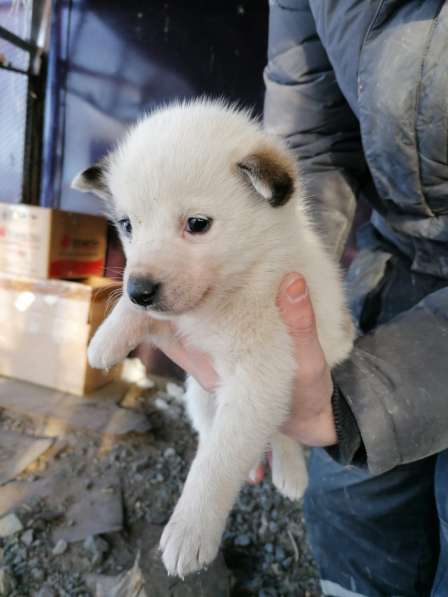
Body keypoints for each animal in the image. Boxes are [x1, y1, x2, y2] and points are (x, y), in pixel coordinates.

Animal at [72, 100, 354, 580]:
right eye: (126, 225)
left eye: (197, 224)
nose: (140, 290)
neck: (235, 289)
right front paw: (108, 337)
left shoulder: (263, 376)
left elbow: (218, 463)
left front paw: (191, 529)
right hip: (200, 395)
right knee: (215, 430)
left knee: (279, 431)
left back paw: (290, 472)